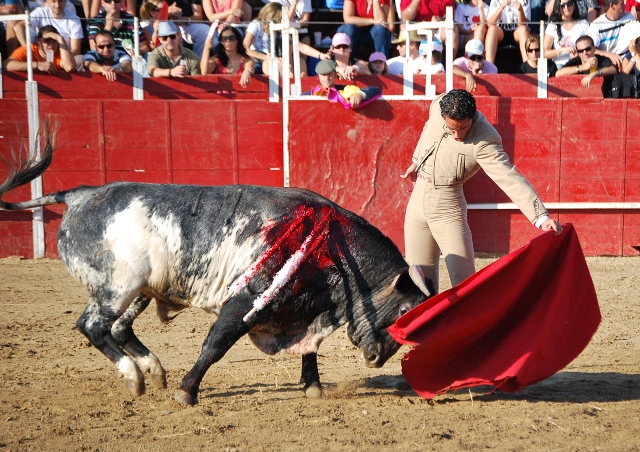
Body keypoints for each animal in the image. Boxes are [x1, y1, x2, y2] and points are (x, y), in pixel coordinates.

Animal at [0, 124, 432, 406]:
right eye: (405, 312)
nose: (377, 358)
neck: (332, 246)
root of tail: (80, 194)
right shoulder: (246, 300)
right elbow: (217, 344)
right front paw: (186, 392)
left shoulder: (304, 308)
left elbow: (309, 349)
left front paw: (313, 387)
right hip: (116, 287)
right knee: (92, 326)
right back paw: (135, 377)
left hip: (139, 289)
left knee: (119, 328)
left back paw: (153, 371)